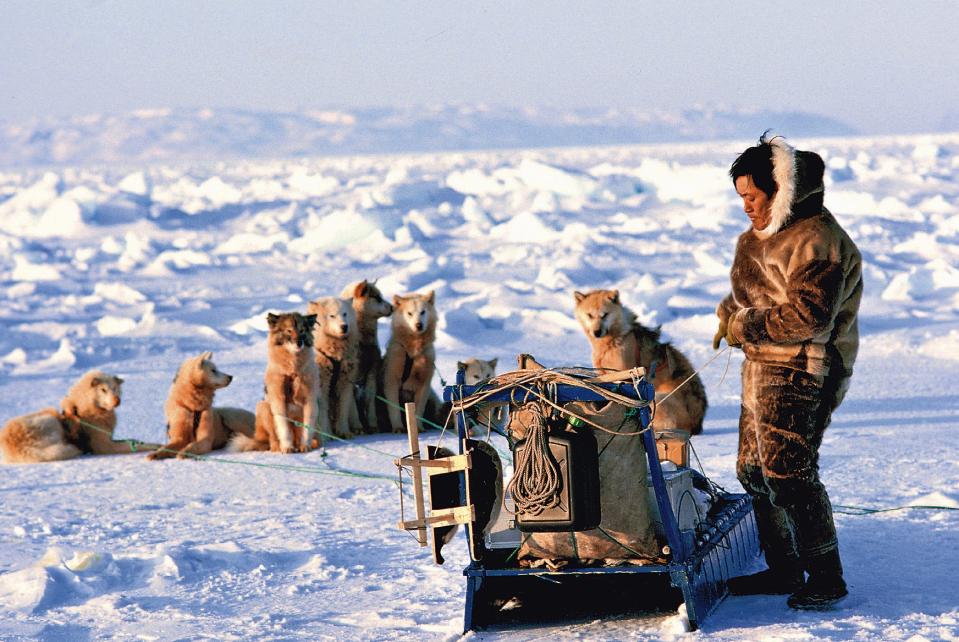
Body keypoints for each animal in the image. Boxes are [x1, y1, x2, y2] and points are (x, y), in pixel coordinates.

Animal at [1, 368, 155, 462]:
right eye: (103, 390)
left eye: (115, 388)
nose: (117, 400)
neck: (87, 409)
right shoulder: (105, 446)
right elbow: (138, 445)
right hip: (50, 421)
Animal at [232, 312, 326, 452]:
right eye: (289, 331)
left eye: (302, 331)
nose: (299, 343)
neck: (292, 369)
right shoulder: (278, 400)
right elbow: (283, 427)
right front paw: (287, 447)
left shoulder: (310, 400)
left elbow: (307, 428)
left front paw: (305, 446)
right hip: (263, 407)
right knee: (273, 439)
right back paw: (278, 447)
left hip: (319, 408)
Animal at [342, 278, 394, 432]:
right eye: (377, 297)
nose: (392, 307)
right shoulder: (351, 376)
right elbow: (352, 403)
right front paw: (358, 426)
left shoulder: (372, 371)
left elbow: (370, 399)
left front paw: (373, 425)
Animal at [384, 288, 440, 430]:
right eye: (409, 313)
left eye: (423, 311)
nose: (418, 325)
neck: (413, 352)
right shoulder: (391, 376)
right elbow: (393, 405)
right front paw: (398, 426)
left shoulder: (425, 380)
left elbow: (419, 406)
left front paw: (418, 426)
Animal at [572, 290, 708, 436]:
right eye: (589, 315)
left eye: (605, 315)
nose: (597, 332)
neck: (614, 340)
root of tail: (696, 425)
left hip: (658, 399)